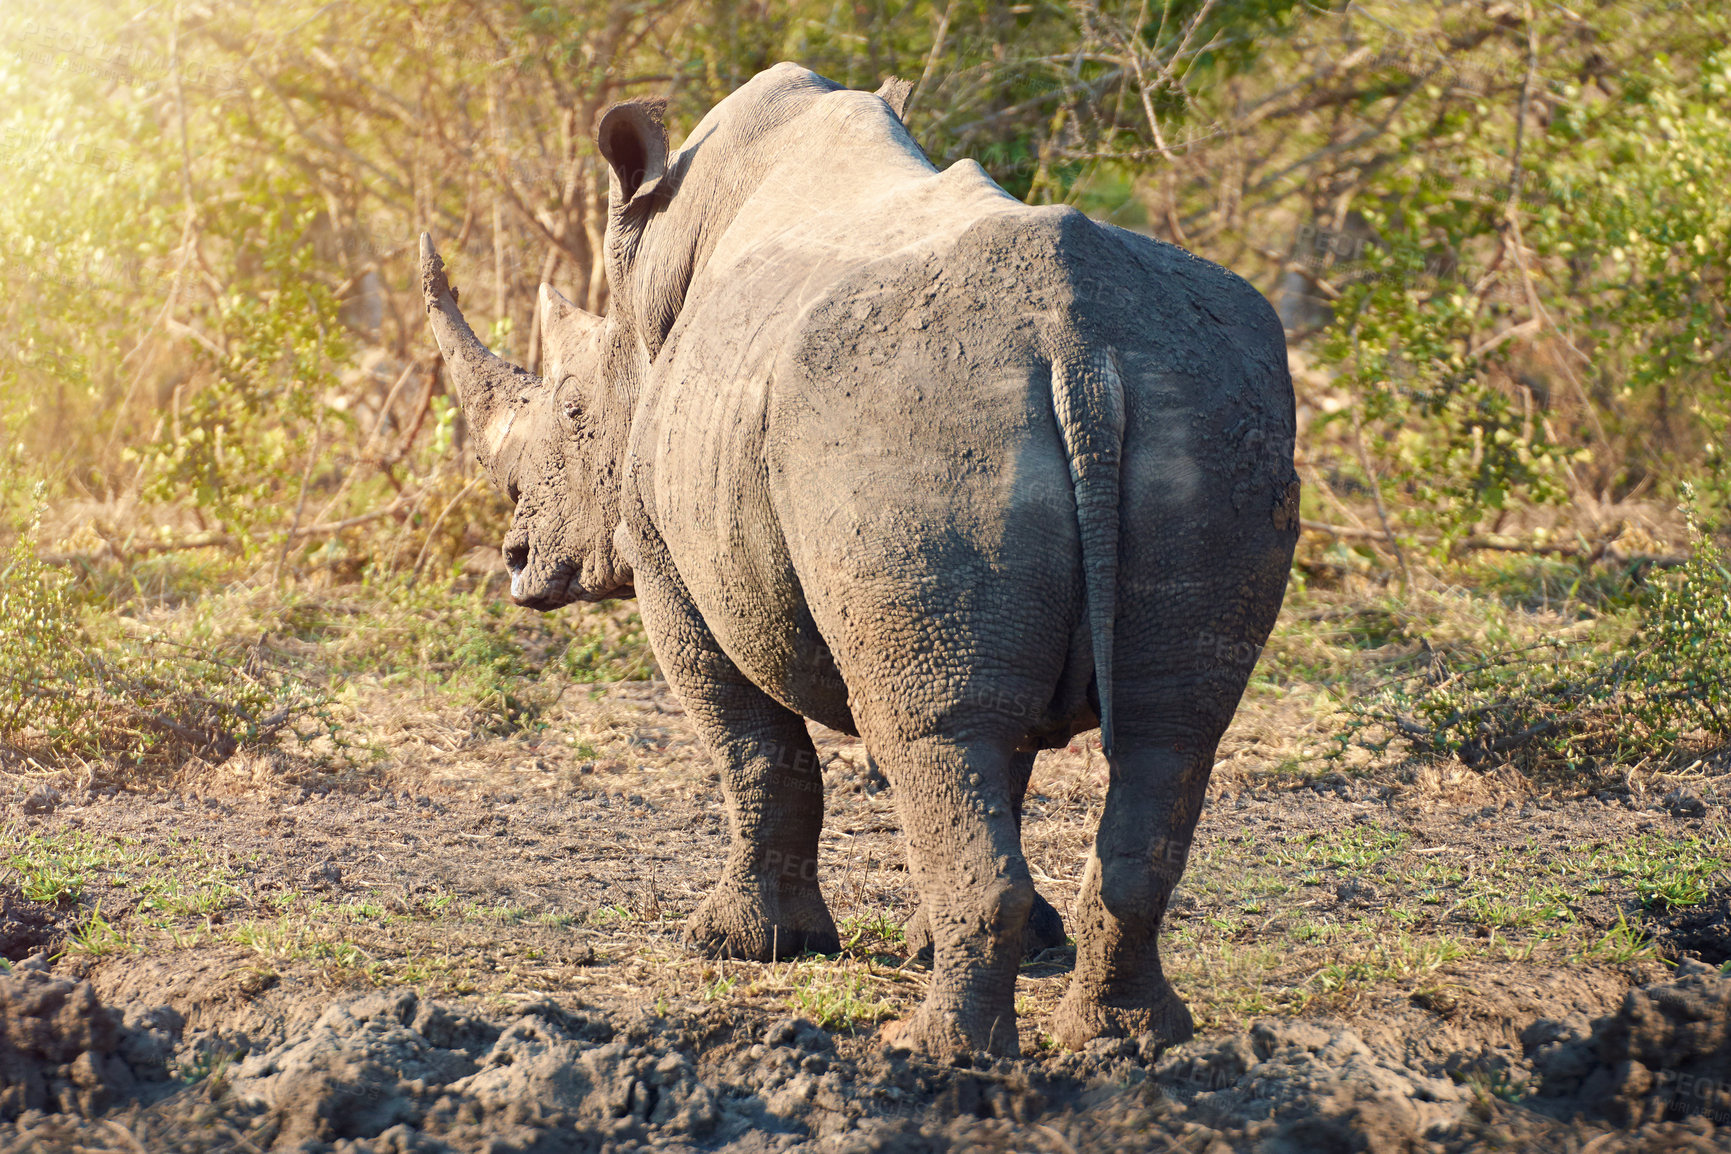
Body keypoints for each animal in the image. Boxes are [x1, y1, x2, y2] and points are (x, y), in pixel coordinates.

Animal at [418, 60, 1301, 1058]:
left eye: (571, 413)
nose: (517, 557)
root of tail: (1076, 341)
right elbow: (995, 762)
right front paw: (965, 945)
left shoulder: (666, 568)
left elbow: (755, 749)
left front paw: (741, 946)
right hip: (1202, 399)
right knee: (1157, 730)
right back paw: (1126, 1039)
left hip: (908, 415)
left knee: (935, 729)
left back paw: (937, 1052)